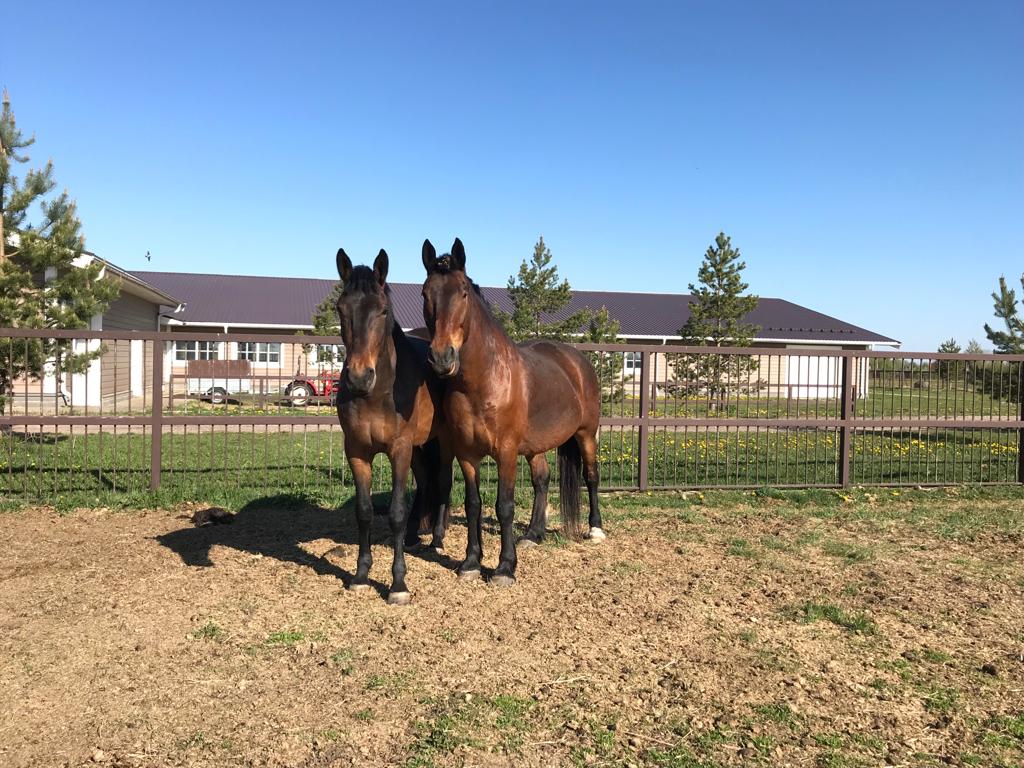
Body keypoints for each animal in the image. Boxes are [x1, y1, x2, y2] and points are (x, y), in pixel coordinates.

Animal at [334, 247, 452, 605]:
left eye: (382, 310)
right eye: (341, 309)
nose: (359, 377)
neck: (380, 391)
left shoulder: (399, 449)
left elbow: (396, 512)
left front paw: (398, 584)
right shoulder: (357, 451)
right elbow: (364, 511)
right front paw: (360, 576)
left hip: (443, 442)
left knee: (443, 483)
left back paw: (437, 537)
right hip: (420, 446)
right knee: (427, 483)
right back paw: (415, 534)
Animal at [420, 237, 604, 587]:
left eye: (463, 292)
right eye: (425, 293)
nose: (441, 358)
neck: (485, 381)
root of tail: (577, 360)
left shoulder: (506, 452)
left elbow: (504, 506)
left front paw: (505, 567)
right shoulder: (466, 453)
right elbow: (473, 504)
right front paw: (471, 562)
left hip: (586, 434)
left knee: (590, 476)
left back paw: (596, 529)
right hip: (535, 447)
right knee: (542, 479)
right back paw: (533, 534)